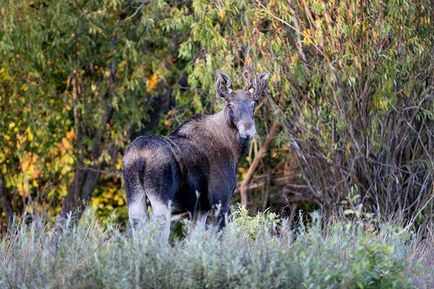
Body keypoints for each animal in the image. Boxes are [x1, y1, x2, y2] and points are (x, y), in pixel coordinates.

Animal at [122, 70, 270, 238]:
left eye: (253, 104)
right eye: (230, 105)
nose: (247, 129)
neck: (234, 151)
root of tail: (140, 159)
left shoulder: (201, 208)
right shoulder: (220, 200)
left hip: (135, 198)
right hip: (161, 200)